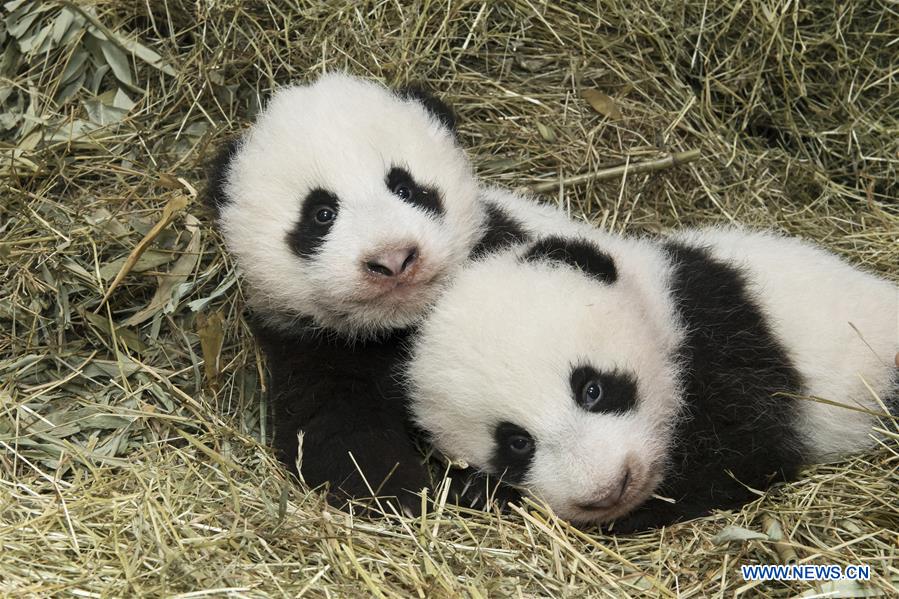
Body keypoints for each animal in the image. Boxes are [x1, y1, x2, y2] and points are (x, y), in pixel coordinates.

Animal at [206, 72, 592, 514]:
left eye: (406, 188)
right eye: (321, 214)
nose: (392, 260)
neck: (400, 325)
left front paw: (476, 487)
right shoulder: (306, 346)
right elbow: (338, 434)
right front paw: (407, 495)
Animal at [405, 227, 898, 531]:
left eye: (592, 389)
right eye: (516, 443)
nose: (609, 489)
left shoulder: (727, 340)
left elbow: (744, 455)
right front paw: (479, 490)